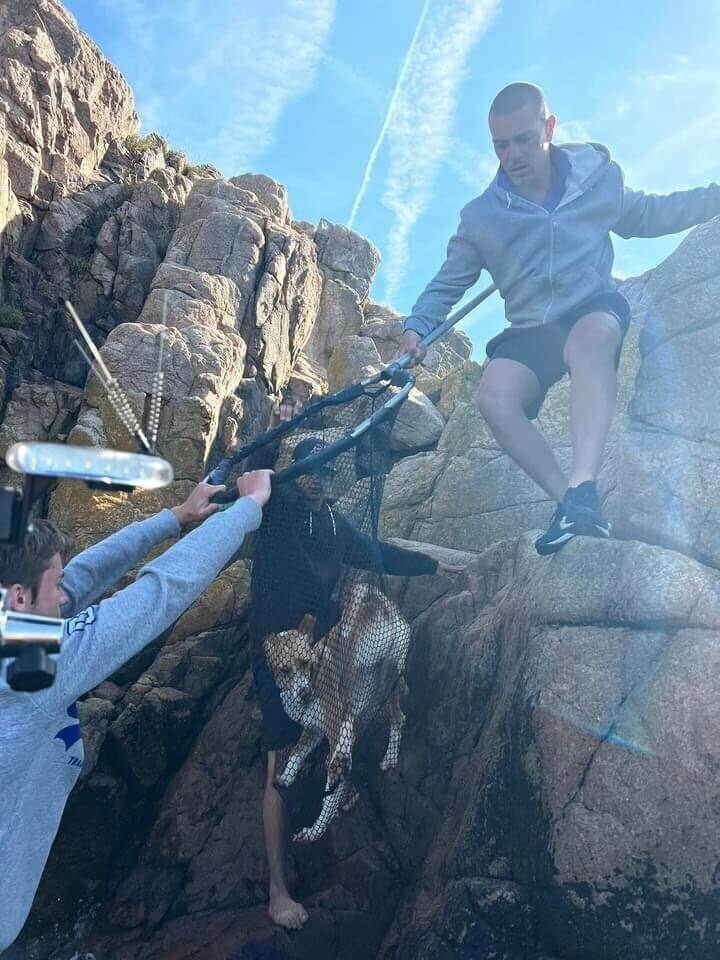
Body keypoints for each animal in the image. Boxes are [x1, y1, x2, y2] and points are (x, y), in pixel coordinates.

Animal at [262, 576, 410, 840]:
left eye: (305, 662)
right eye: (284, 670)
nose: (305, 693)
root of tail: (381, 606)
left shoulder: (332, 729)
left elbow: (330, 795)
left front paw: (316, 829)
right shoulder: (314, 730)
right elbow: (297, 752)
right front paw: (287, 776)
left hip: (385, 682)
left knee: (396, 718)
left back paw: (388, 758)